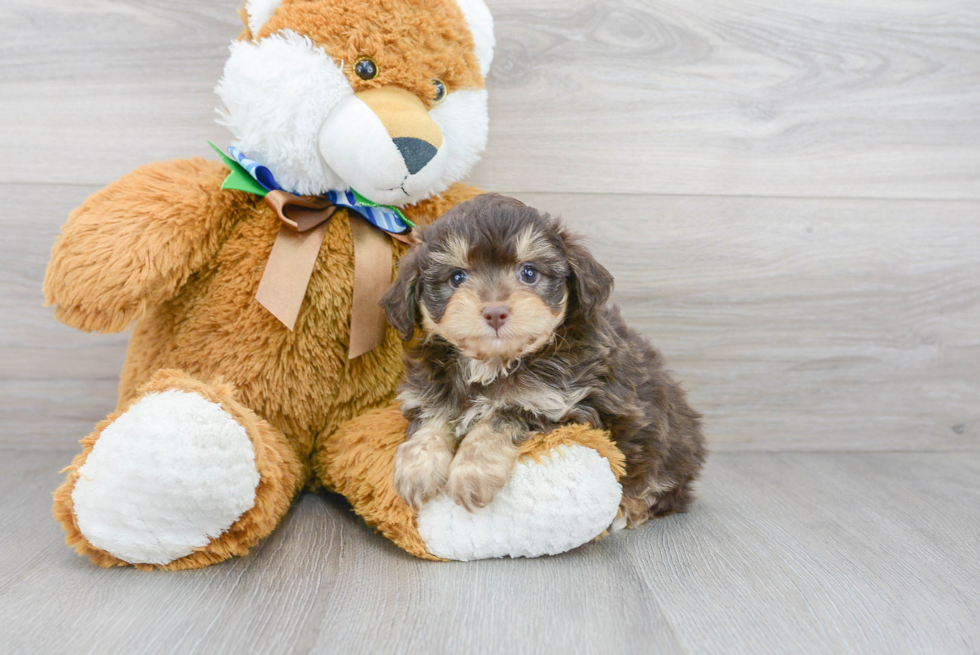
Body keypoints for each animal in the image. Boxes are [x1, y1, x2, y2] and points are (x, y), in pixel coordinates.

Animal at [380, 193, 704, 528]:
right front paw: (417, 468)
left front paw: (472, 472)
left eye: (529, 273)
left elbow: (499, 418)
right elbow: (433, 420)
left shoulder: (567, 407)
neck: (494, 363)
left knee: (661, 487)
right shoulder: (429, 393)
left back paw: (630, 508)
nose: (495, 312)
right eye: (457, 277)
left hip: (667, 448)